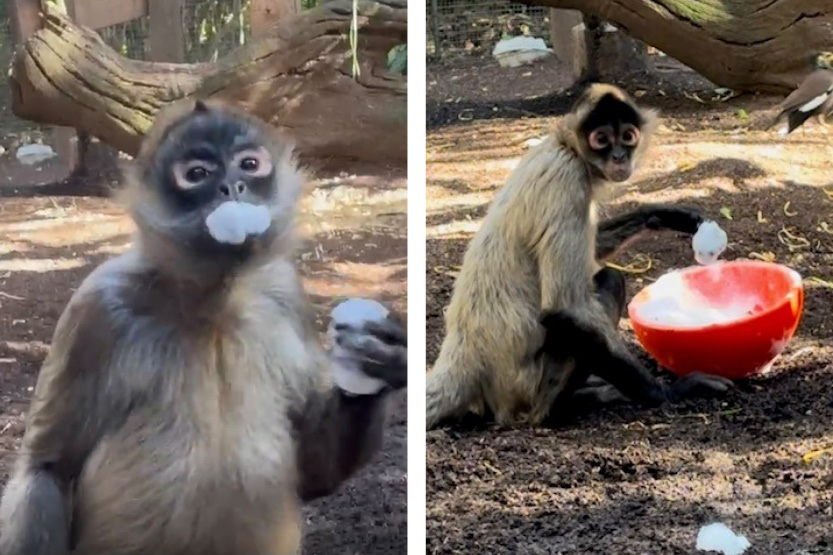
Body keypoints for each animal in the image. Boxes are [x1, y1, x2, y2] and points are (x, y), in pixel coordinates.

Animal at [0, 99, 407, 555]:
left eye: (249, 165)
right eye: (198, 174)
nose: (233, 187)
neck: (213, 304)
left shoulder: (283, 289)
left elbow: (316, 472)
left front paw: (379, 357)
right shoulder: (99, 304)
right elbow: (47, 470)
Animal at [425, 84, 731, 430]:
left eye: (628, 136)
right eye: (601, 139)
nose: (618, 156)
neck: (564, 147)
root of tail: (464, 352)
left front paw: (669, 215)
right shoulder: (567, 181)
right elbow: (565, 307)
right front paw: (670, 392)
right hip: (527, 385)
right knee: (608, 280)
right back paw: (556, 409)